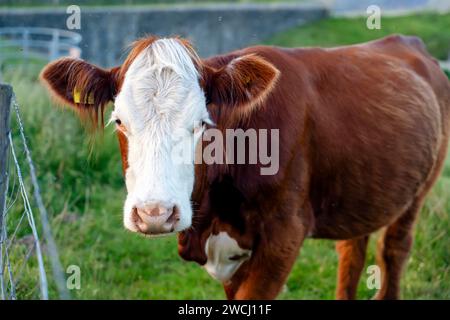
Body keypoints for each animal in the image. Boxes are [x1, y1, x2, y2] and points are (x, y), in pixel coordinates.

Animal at [40, 35, 448, 300]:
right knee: (352, 251)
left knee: (394, 250)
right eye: (119, 121)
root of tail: (406, 41)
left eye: (202, 123)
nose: (155, 213)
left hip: (420, 186)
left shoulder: (284, 235)